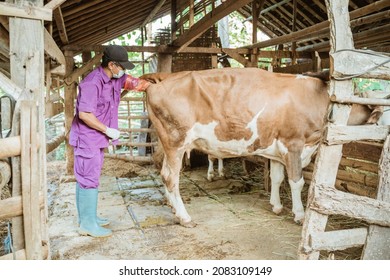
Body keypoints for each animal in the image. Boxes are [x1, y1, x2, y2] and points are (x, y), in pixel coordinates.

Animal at [142, 68, 380, 228]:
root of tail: (161, 81)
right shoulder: (293, 144)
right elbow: (296, 182)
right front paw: (299, 214)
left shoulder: (277, 150)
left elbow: (276, 177)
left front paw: (276, 206)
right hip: (176, 142)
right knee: (171, 177)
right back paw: (185, 217)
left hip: (168, 144)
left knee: (163, 172)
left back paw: (174, 208)